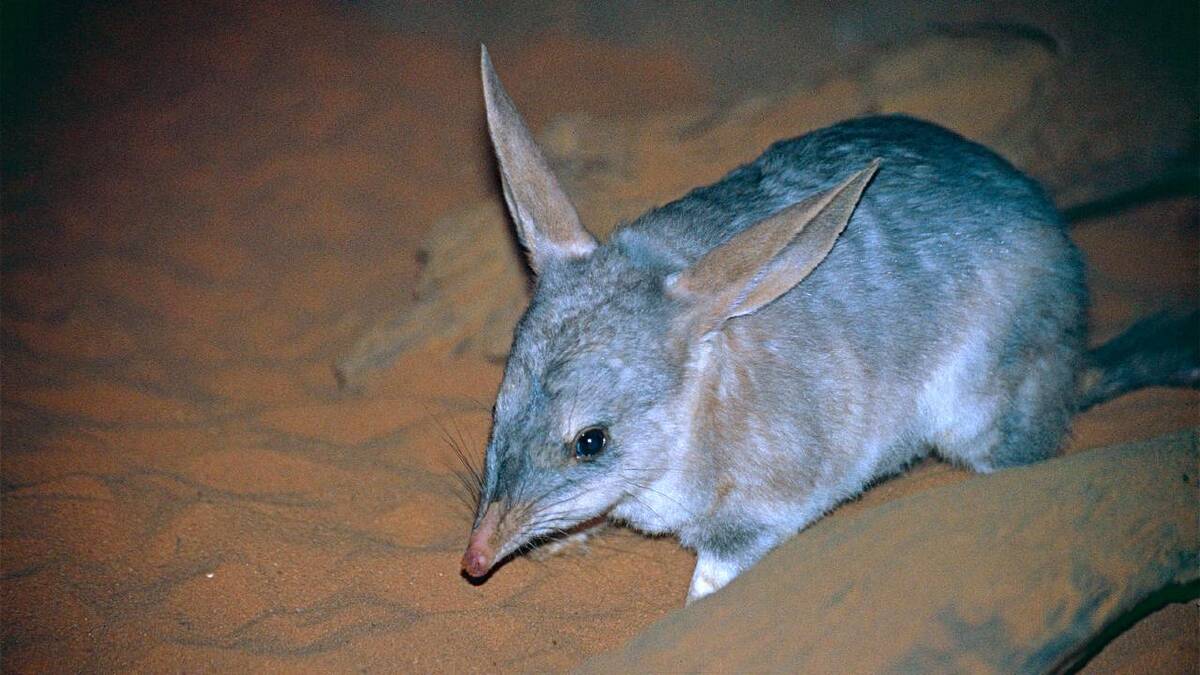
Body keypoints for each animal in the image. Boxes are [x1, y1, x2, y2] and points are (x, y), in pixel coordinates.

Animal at [460, 46, 1199, 604]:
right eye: (497, 406)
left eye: (592, 441)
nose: (473, 561)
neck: (701, 406)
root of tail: (1076, 362)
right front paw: (569, 535)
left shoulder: (768, 501)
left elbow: (717, 571)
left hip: (979, 410)